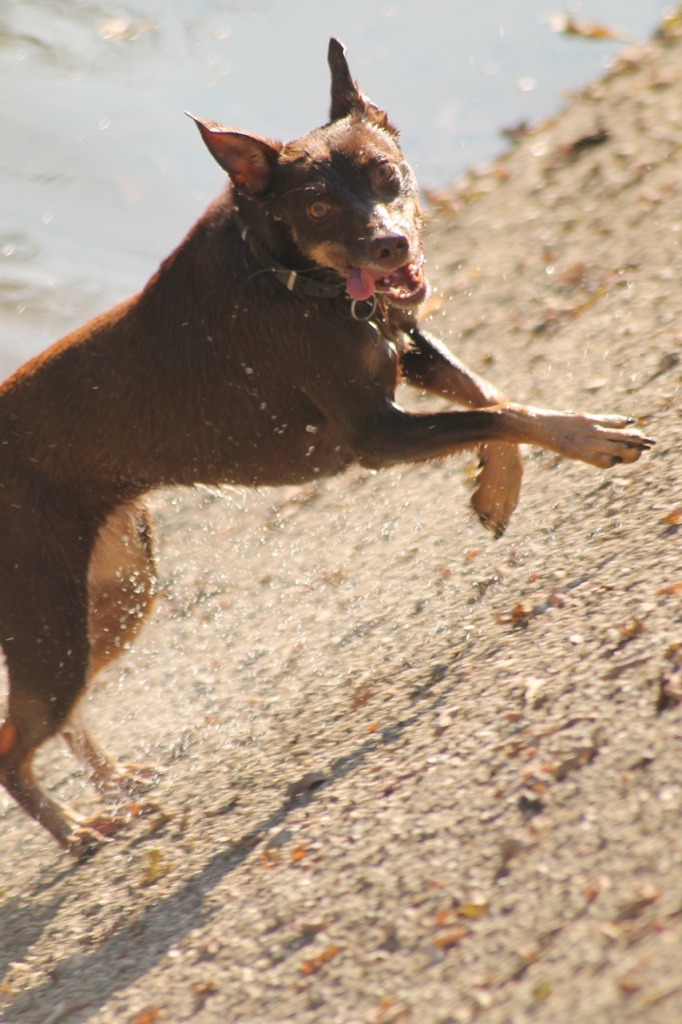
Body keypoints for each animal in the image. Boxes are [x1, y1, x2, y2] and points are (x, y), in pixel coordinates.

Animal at [0, 37, 651, 856]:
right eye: (315, 206)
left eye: (385, 175)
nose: (391, 242)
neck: (292, 275)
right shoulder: (374, 434)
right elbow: (502, 410)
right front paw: (590, 439)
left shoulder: (404, 345)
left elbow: (489, 394)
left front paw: (498, 485)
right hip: (50, 615)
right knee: (13, 745)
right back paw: (76, 829)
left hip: (116, 592)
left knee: (61, 715)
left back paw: (113, 782)